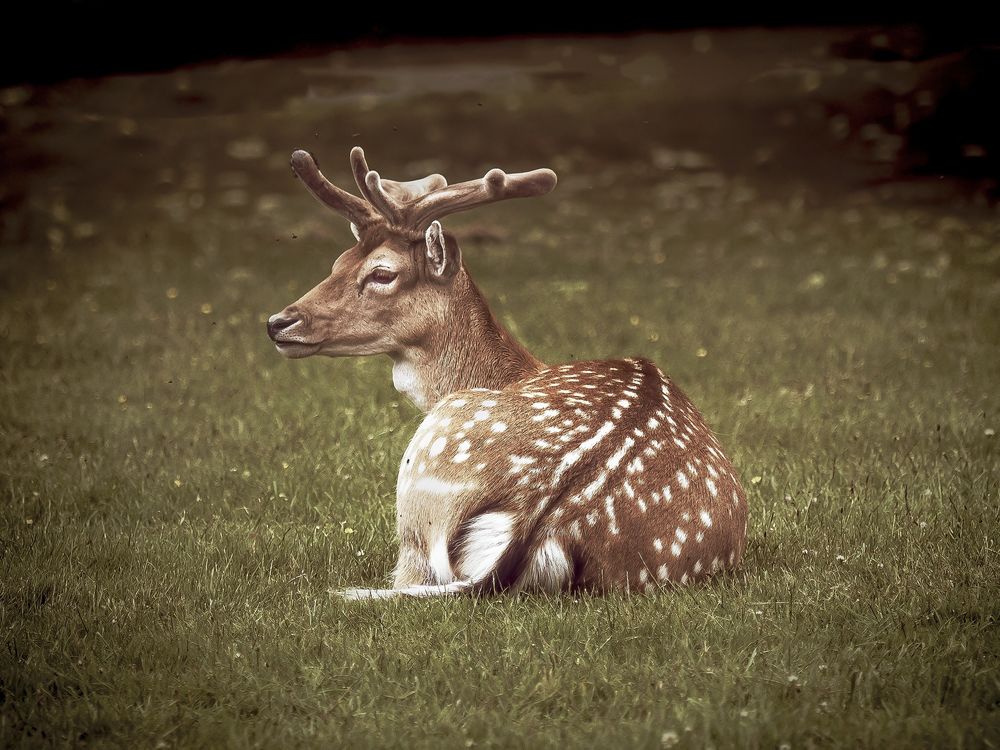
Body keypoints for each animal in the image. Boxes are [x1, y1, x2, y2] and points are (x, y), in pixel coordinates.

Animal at [266, 146, 749, 599]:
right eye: (338, 262)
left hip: (425, 471)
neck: (512, 370)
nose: (278, 322)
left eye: (383, 273)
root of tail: (541, 520)